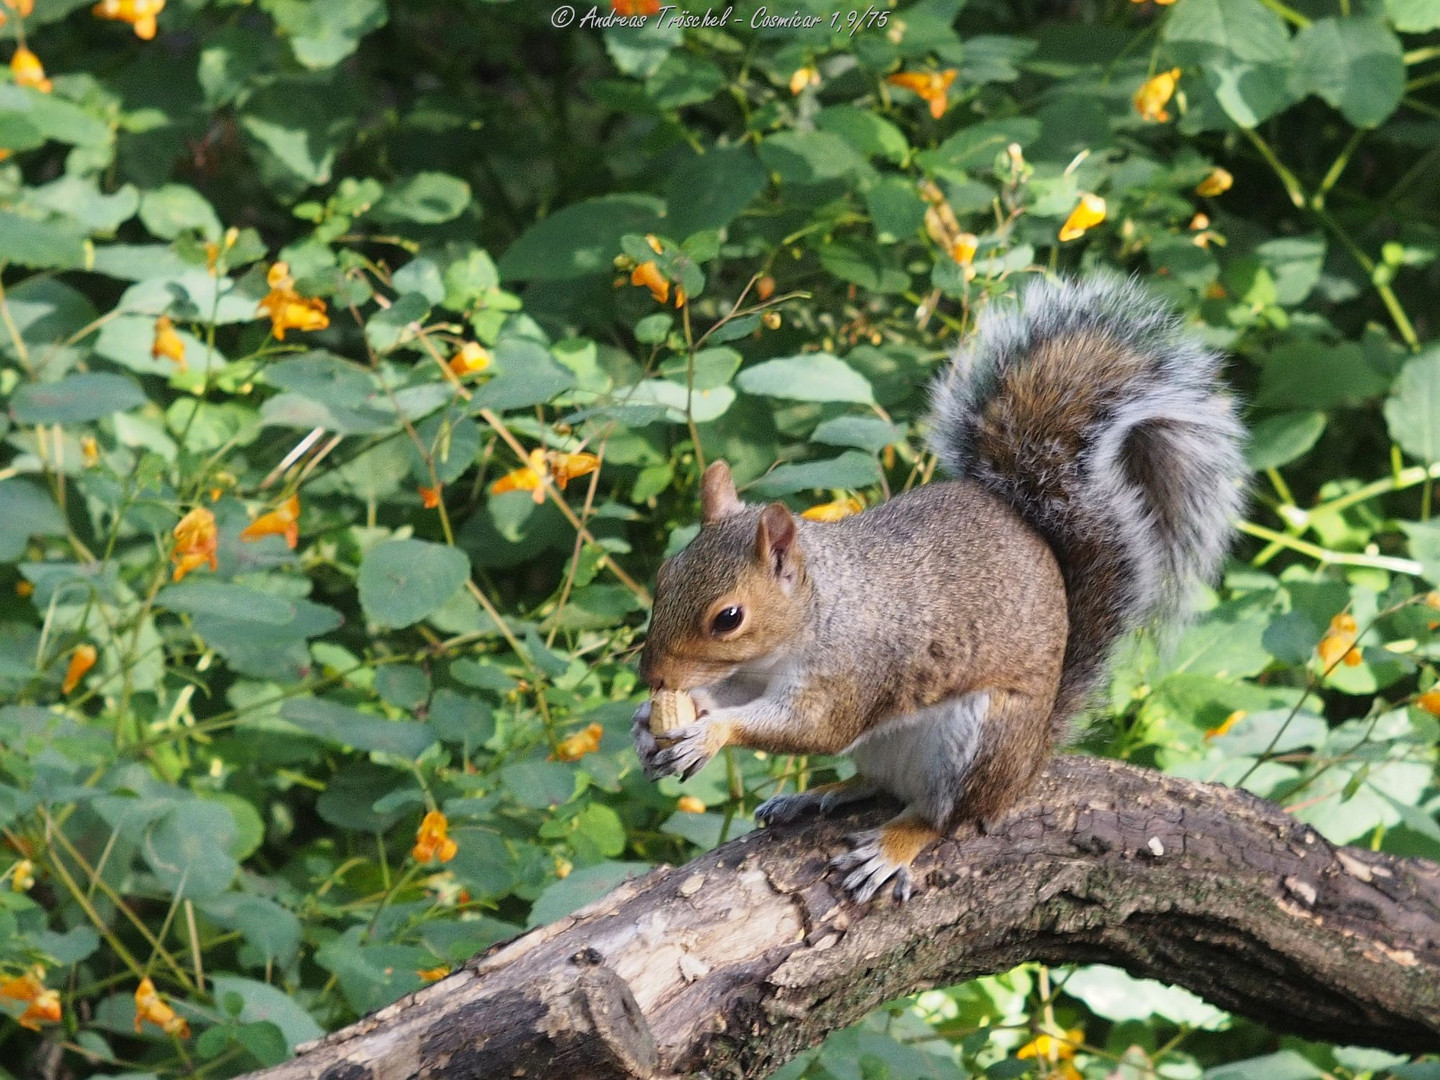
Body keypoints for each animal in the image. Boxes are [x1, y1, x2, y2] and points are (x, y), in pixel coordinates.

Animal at [630, 276, 1249, 904]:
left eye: (728, 617)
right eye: (665, 575)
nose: (652, 675)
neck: (817, 612)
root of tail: (1029, 764)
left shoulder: (854, 669)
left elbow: (814, 728)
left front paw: (710, 732)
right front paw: (651, 720)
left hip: (978, 743)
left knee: (942, 816)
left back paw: (890, 845)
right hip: (889, 750)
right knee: (877, 785)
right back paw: (820, 793)